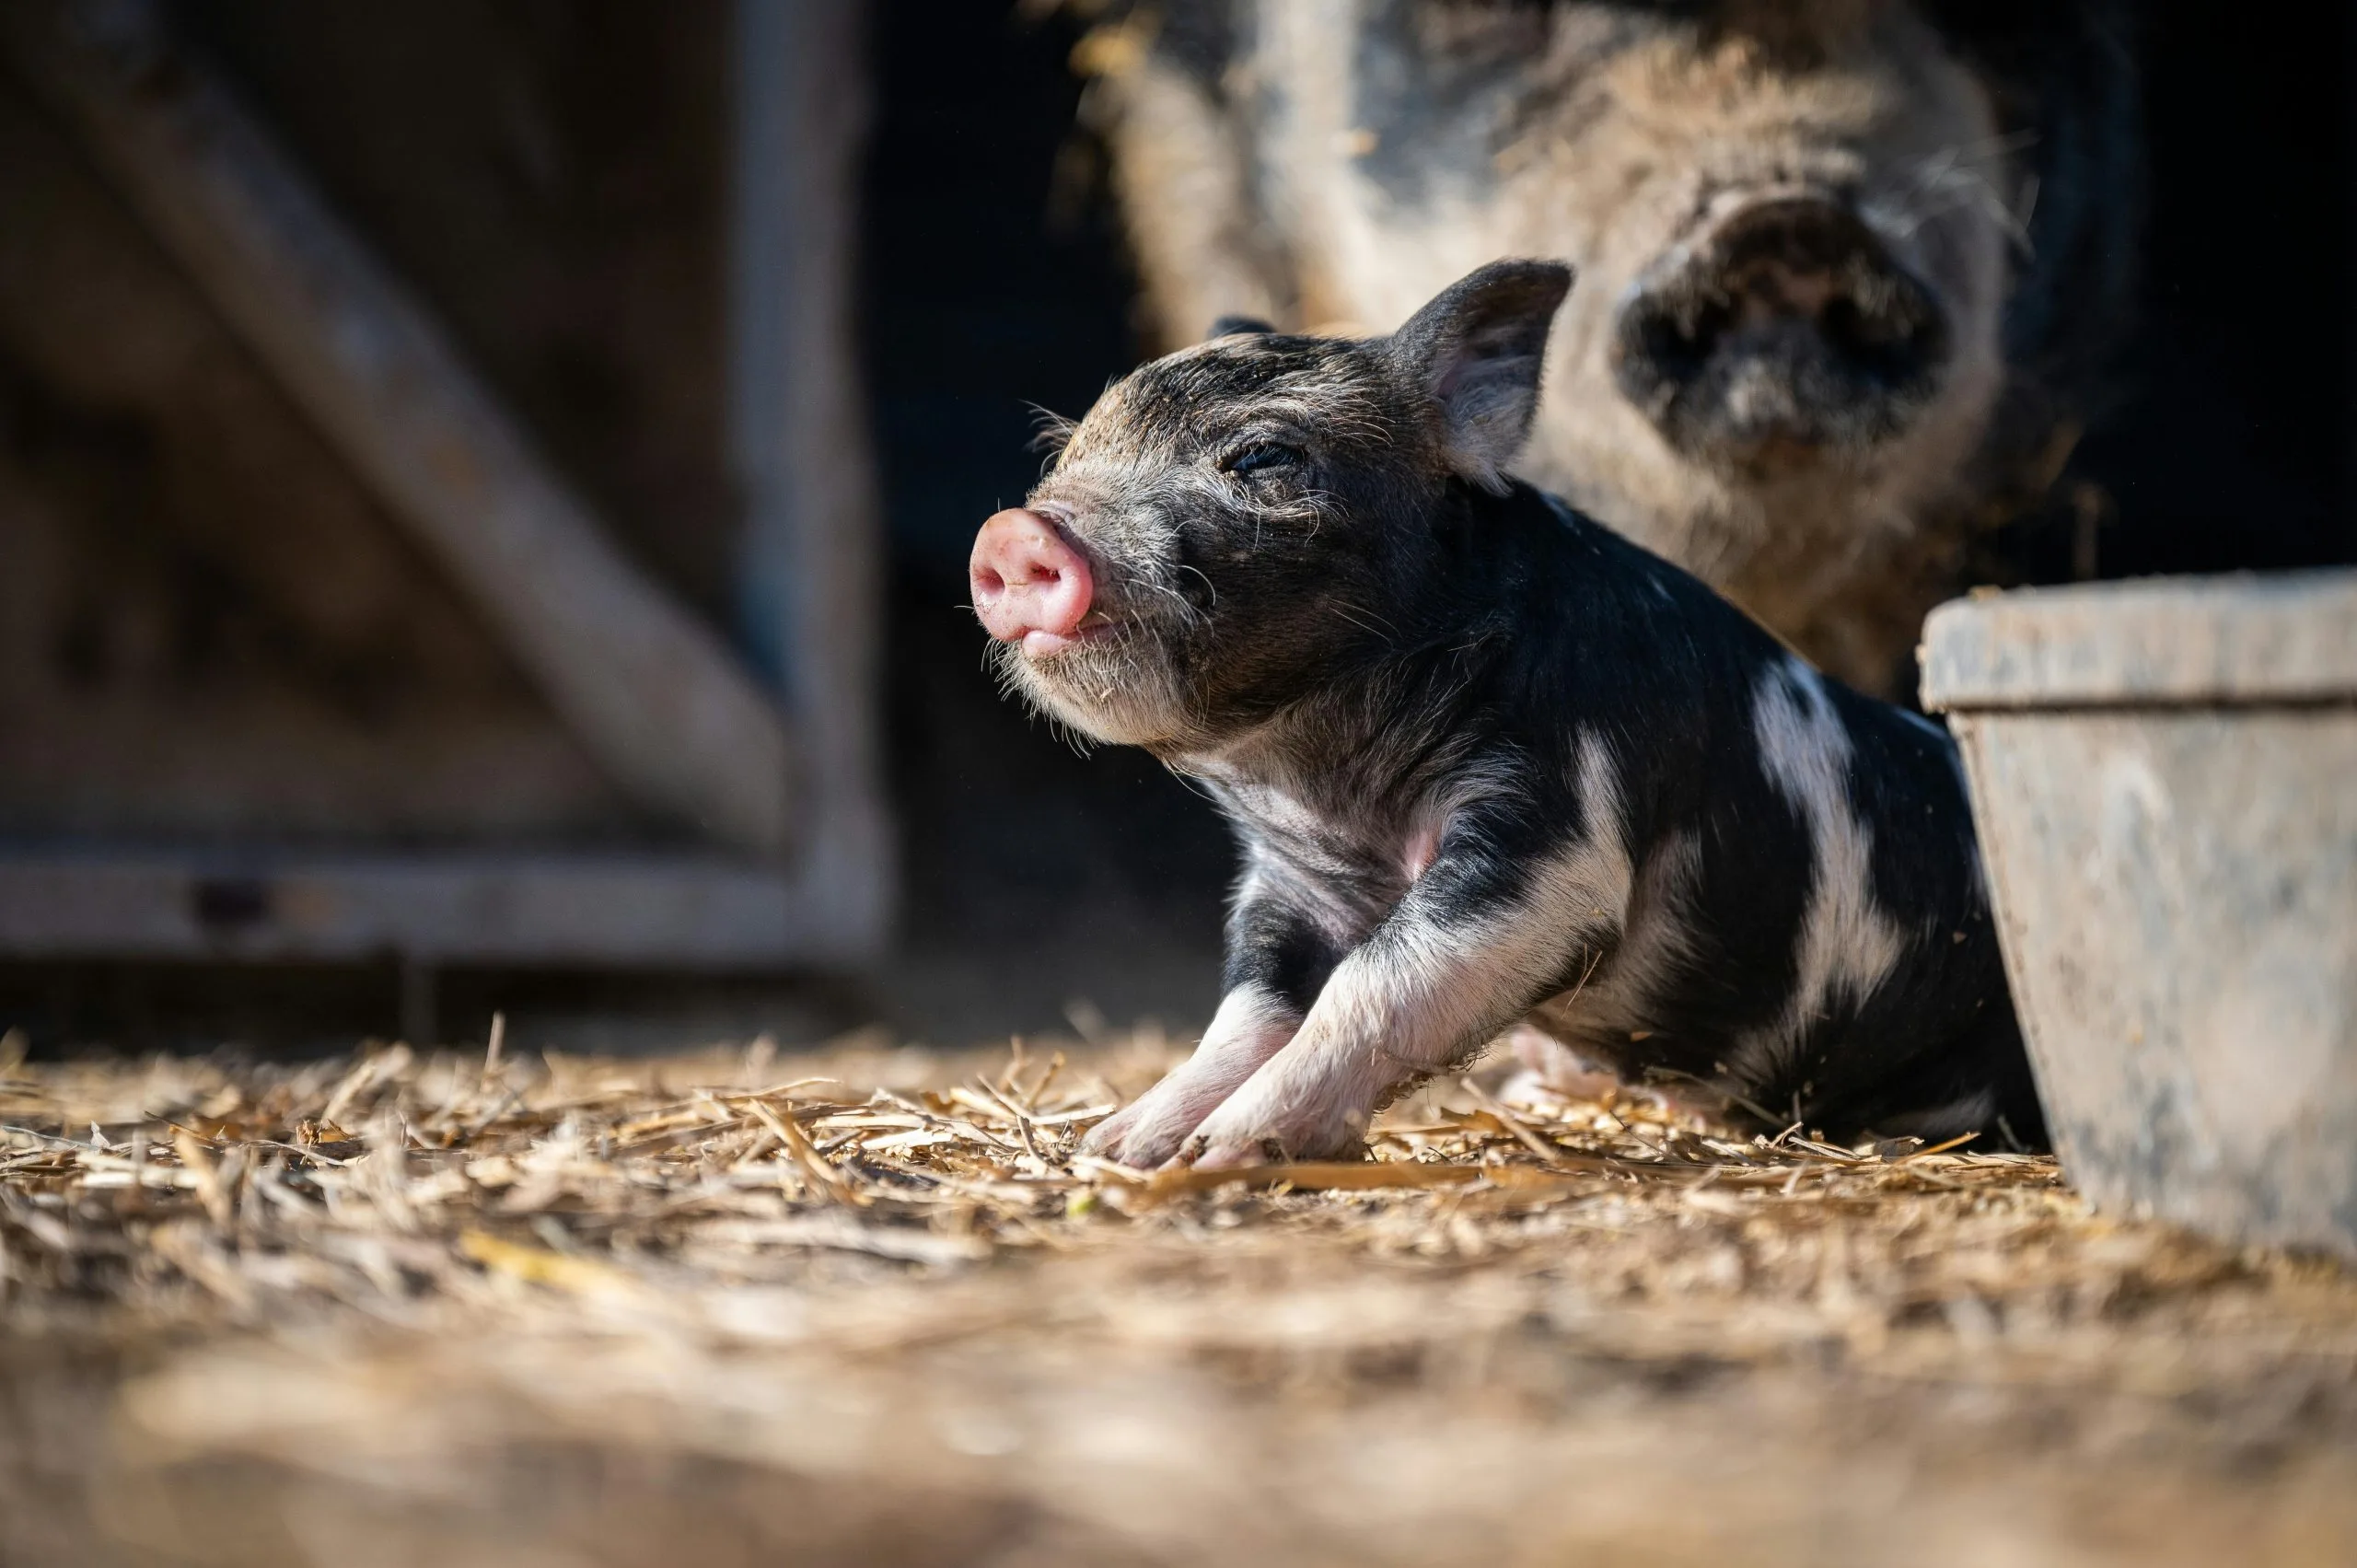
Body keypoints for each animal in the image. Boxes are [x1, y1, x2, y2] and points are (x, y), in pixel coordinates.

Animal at [968, 259, 2042, 1169]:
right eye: (1068, 450)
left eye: (1263, 454)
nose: (1015, 532)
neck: (1329, 791)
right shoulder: (1289, 886)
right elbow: (1248, 1009)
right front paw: (1117, 1148)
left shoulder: (1556, 834)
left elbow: (1376, 981)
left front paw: (1224, 1151)